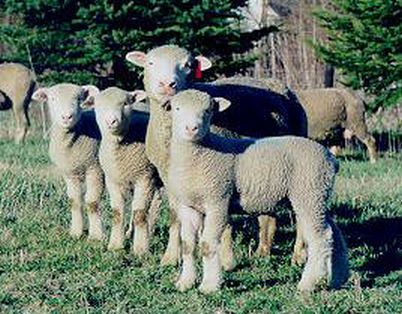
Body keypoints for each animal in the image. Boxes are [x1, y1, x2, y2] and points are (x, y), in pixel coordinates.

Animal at [32, 83, 104, 240]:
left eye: (78, 99)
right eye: (52, 99)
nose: (66, 117)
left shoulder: (95, 168)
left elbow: (92, 201)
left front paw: (96, 235)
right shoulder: (69, 172)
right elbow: (74, 201)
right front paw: (76, 232)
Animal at [81, 87, 163, 256]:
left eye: (125, 103)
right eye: (99, 105)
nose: (111, 121)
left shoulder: (145, 176)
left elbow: (140, 213)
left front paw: (140, 249)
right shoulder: (113, 179)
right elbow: (118, 212)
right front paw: (116, 246)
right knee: (154, 205)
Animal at [125, 44, 308, 264]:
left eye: (187, 65)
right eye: (150, 63)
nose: (167, 84)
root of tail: (279, 84)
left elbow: (224, 222)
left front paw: (225, 258)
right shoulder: (170, 179)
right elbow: (175, 217)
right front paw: (170, 257)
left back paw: (298, 255)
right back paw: (262, 251)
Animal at [166, 89, 348, 294]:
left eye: (208, 110)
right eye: (176, 108)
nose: (191, 128)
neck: (200, 154)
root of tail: (331, 159)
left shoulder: (217, 200)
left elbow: (207, 244)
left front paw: (209, 285)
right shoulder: (188, 205)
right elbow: (188, 245)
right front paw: (185, 282)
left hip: (309, 192)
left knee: (320, 237)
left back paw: (308, 283)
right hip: (318, 195)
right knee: (333, 233)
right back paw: (338, 278)